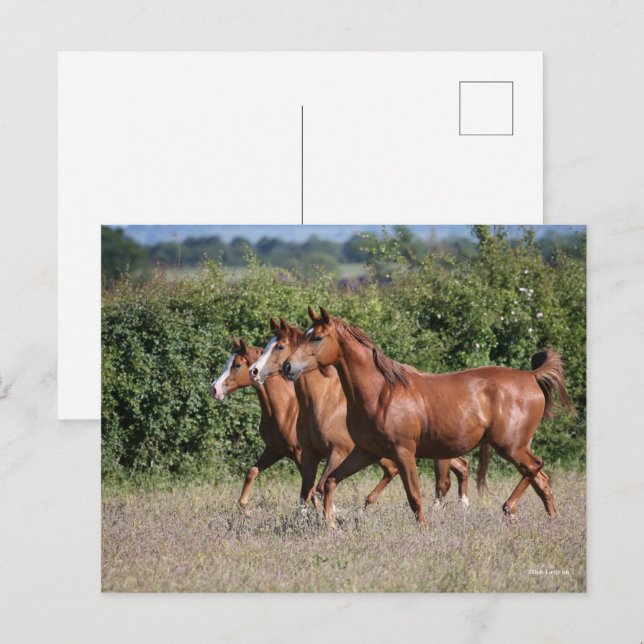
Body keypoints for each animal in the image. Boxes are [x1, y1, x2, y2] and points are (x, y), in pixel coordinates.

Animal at [210, 337, 301, 512]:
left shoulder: (301, 454)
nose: (214, 389)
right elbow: (251, 471)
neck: (286, 410)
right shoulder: (274, 450)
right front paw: (244, 505)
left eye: (237, 365)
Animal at [249, 314, 470, 511]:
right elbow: (307, 492)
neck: (320, 403)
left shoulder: (337, 452)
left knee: (444, 478)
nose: (254, 371)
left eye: (279, 346)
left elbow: (318, 487)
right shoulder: (309, 452)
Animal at [283, 306, 576, 527]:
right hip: (515, 447)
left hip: (511, 446)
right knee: (542, 480)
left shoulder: (403, 452)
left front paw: (423, 530)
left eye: (317, 338)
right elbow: (329, 482)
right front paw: (332, 525)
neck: (381, 392)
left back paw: (509, 508)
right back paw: (550, 520)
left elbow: (414, 496)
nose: (287, 367)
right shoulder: (367, 452)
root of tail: (531, 376)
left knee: (535, 467)